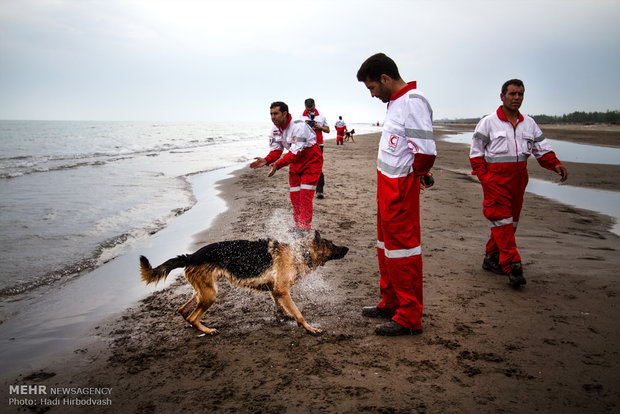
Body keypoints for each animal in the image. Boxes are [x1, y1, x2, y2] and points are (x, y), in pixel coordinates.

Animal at [137, 231, 346, 334]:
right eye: (332, 245)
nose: (348, 248)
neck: (299, 253)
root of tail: (191, 256)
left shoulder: (275, 290)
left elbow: (281, 306)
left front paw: (285, 315)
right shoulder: (282, 290)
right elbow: (299, 313)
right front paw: (309, 328)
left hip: (203, 291)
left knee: (184, 311)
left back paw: (199, 323)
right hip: (210, 294)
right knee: (191, 316)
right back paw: (206, 330)